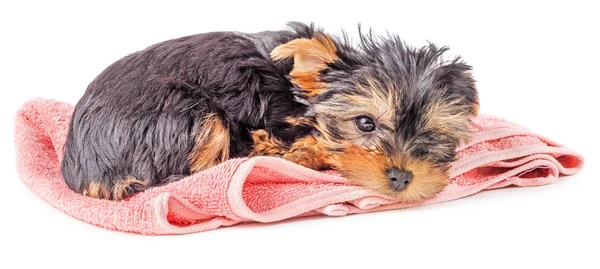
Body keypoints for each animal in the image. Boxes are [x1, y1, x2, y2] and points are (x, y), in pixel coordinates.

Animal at [61, 22, 478, 201]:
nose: (402, 177)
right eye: (365, 123)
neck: (300, 91)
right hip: (190, 115)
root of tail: (82, 166)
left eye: (434, 136)